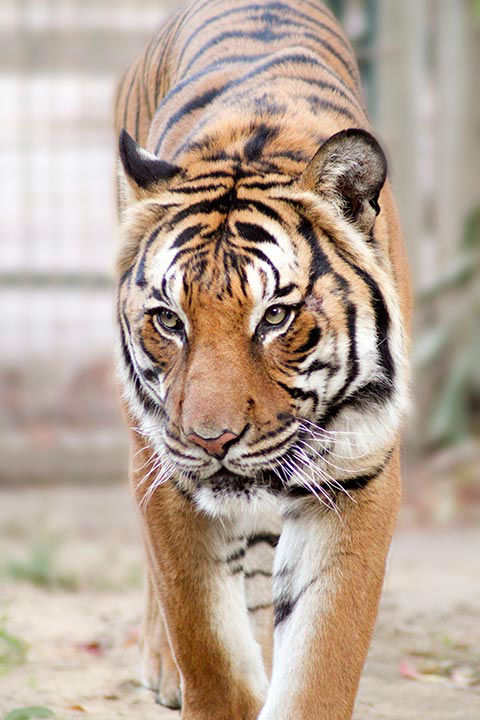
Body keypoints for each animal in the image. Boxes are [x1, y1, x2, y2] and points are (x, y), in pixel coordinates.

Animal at [114, 0, 410, 716]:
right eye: (169, 319)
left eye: (275, 316)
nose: (211, 440)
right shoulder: (171, 478)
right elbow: (206, 640)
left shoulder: (358, 476)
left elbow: (319, 661)